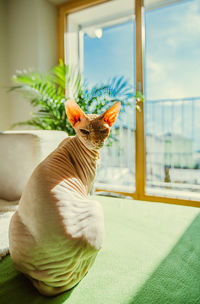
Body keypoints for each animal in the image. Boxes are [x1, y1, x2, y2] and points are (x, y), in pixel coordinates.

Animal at [8, 100, 120, 296]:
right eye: (85, 131)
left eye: (103, 130)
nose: (96, 142)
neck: (74, 140)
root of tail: (47, 280)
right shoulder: (87, 187)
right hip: (94, 208)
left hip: (14, 223)